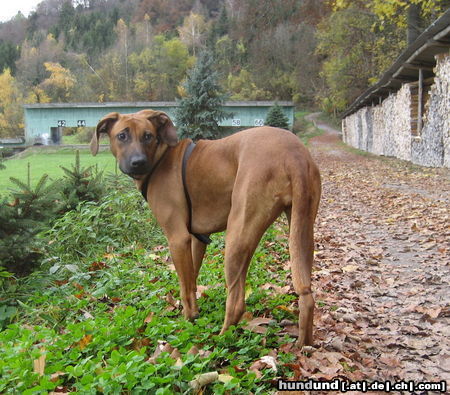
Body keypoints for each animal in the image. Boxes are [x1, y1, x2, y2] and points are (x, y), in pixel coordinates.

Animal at [91, 109, 322, 346]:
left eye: (148, 136)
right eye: (122, 136)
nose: (138, 162)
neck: (161, 157)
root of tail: (293, 154)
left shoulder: (178, 238)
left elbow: (185, 287)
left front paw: (188, 320)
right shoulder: (196, 239)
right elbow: (191, 279)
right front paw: (194, 314)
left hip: (237, 236)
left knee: (236, 301)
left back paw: (219, 340)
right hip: (301, 229)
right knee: (306, 294)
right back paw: (304, 344)